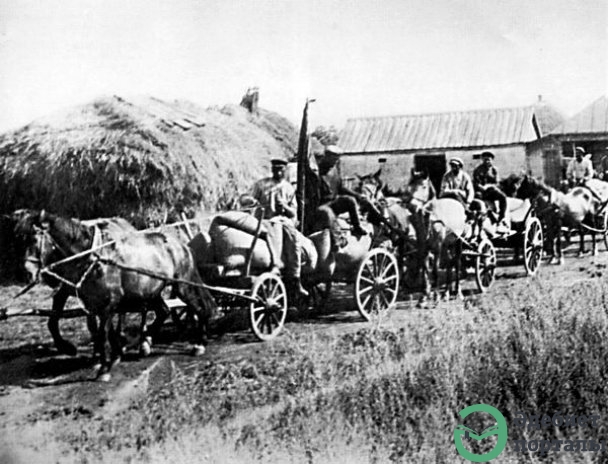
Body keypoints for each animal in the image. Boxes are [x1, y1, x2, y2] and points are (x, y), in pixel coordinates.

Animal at [21, 210, 216, 380]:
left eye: (34, 239)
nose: (28, 273)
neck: (95, 258)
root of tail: (182, 246)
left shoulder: (108, 303)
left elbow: (103, 332)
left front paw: (105, 368)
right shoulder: (91, 303)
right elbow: (94, 330)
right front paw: (106, 357)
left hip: (182, 285)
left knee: (198, 307)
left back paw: (199, 343)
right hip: (152, 291)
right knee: (164, 311)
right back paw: (145, 343)